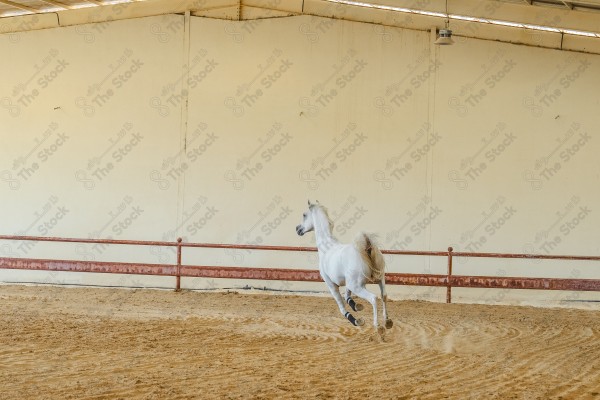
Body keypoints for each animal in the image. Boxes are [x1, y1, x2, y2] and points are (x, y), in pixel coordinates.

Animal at [296, 200, 394, 332]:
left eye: (304, 215)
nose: (297, 229)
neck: (326, 247)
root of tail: (366, 248)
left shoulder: (331, 285)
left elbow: (341, 305)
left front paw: (356, 320)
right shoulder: (349, 282)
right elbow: (348, 297)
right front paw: (357, 306)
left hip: (357, 286)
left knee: (373, 298)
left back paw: (378, 326)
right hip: (379, 279)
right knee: (384, 296)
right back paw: (387, 321)